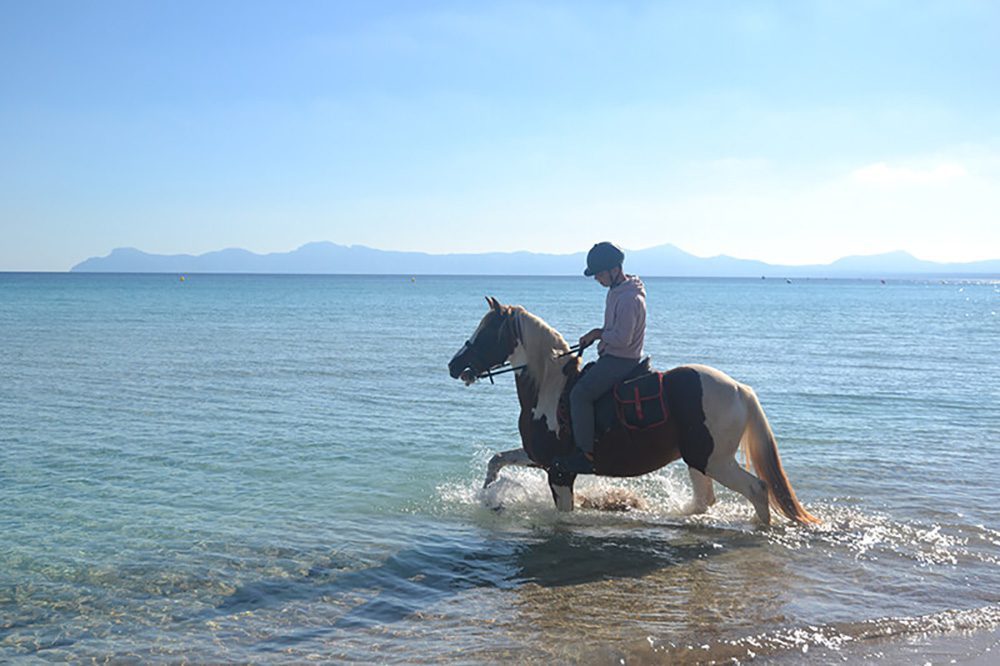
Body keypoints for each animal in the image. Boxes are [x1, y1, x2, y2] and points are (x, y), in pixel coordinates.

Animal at [448, 296, 820, 524]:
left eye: (485, 333)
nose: (454, 366)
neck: (551, 391)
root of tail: (739, 389)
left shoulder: (560, 472)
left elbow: (564, 516)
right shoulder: (539, 457)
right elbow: (497, 460)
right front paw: (489, 497)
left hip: (714, 461)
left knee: (757, 489)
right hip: (698, 460)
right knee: (706, 501)